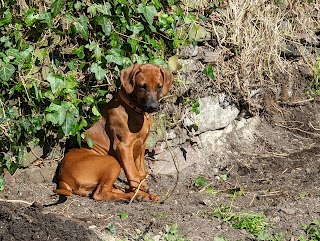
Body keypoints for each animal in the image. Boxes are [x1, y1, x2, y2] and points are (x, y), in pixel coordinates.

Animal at [53, 64, 172, 201]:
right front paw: (140, 190)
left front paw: (144, 187)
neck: (134, 110)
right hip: (112, 161)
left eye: (159, 86)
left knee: (107, 190)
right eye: (142, 86)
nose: (153, 107)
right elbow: (133, 174)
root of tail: (62, 178)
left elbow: (141, 172)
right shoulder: (123, 147)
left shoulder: (142, 145)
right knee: (100, 193)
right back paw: (136, 195)